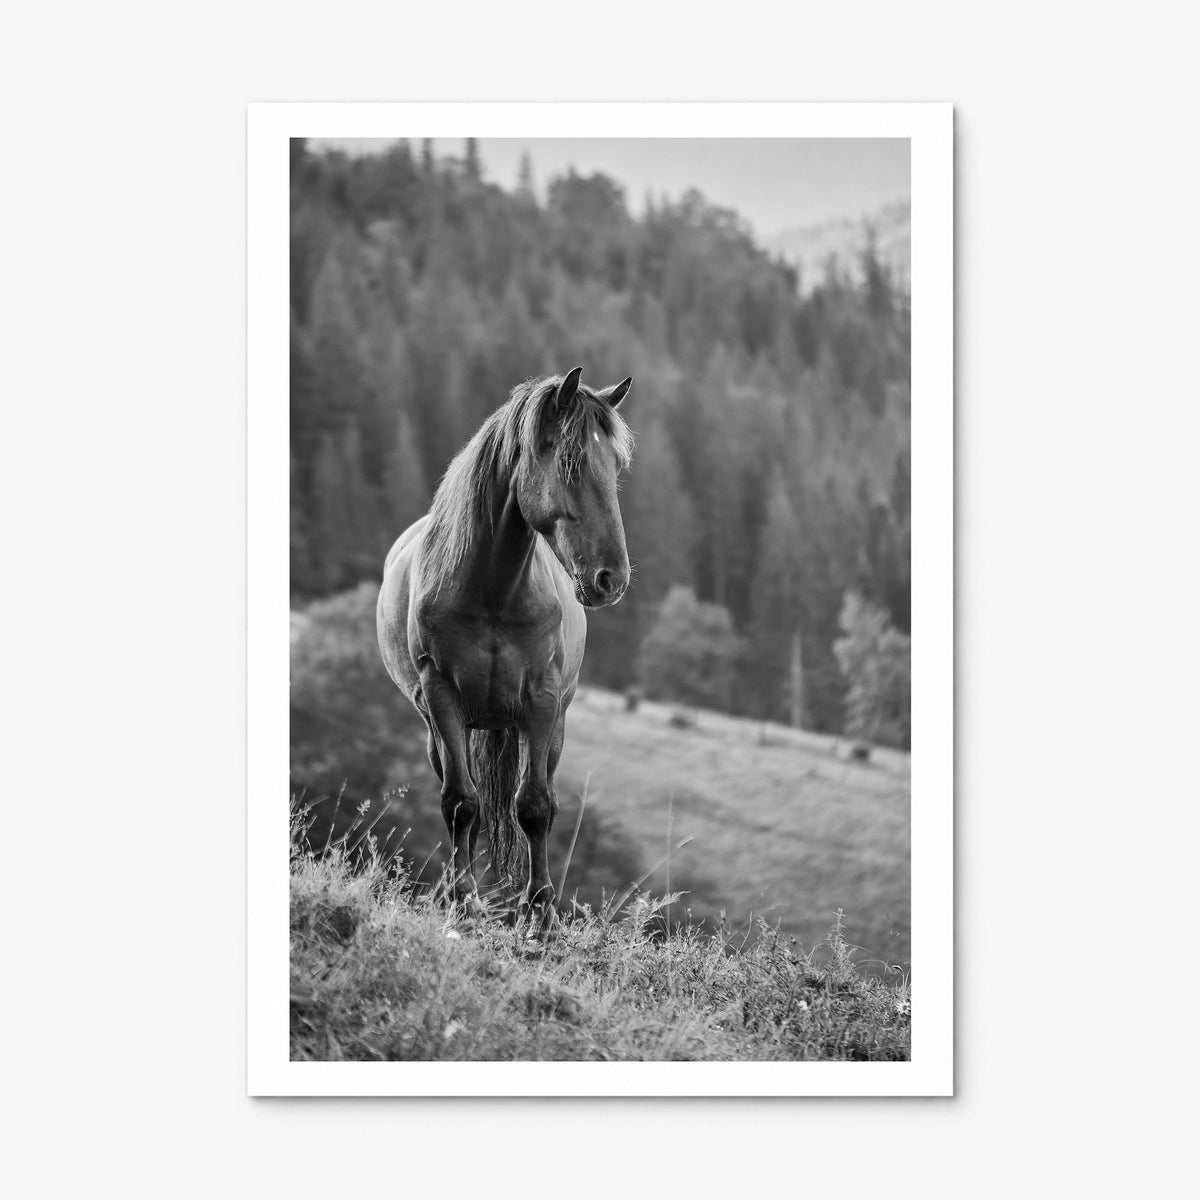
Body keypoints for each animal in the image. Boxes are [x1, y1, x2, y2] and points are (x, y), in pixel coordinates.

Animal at [376, 367, 634, 928]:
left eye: (616, 466)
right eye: (571, 463)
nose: (611, 579)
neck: (492, 591)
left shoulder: (541, 702)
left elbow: (534, 806)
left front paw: (540, 910)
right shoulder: (442, 698)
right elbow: (461, 803)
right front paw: (463, 897)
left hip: (549, 725)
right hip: (441, 729)